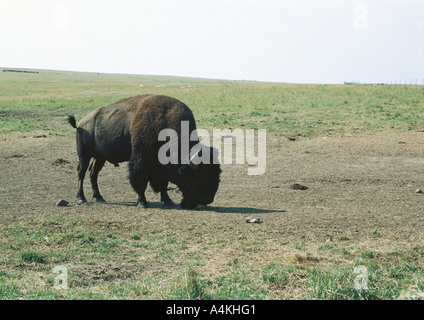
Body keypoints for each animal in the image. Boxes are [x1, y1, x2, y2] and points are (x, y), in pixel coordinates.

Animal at [67, 94, 220, 209]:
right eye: (198, 177)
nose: (208, 199)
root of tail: (81, 123)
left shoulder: (161, 166)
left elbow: (163, 183)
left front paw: (168, 200)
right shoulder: (141, 160)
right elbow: (140, 180)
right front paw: (142, 203)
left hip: (100, 157)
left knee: (93, 173)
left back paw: (99, 197)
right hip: (84, 155)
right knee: (81, 172)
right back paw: (81, 198)